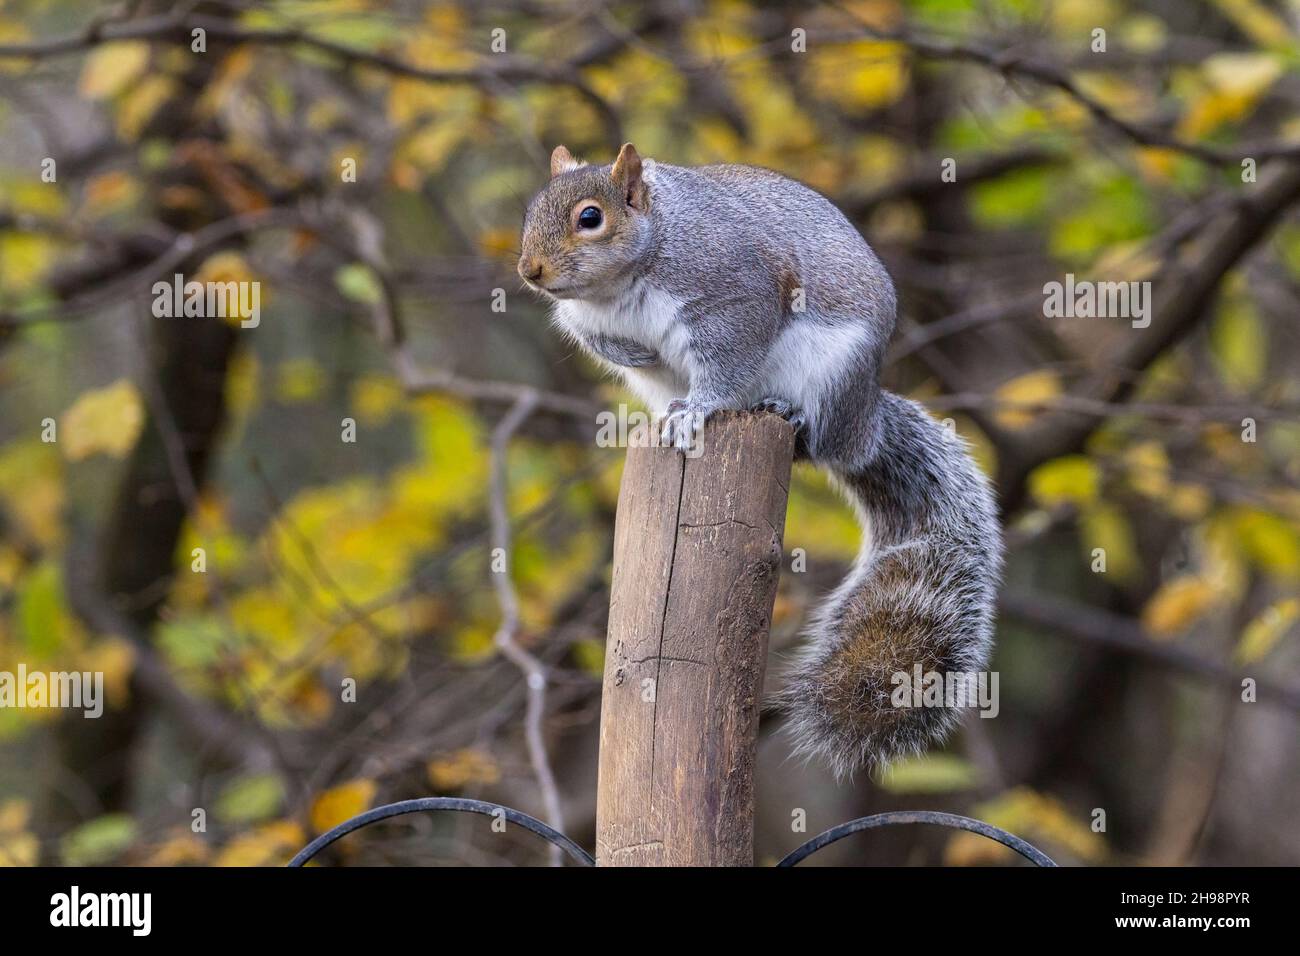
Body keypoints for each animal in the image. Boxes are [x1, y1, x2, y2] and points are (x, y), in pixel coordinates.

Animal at [517, 145, 1003, 780]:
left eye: (591, 218)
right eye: (529, 212)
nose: (529, 271)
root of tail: (866, 423)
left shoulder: (733, 295)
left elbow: (727, 362)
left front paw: (699, 409)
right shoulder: (583, 322)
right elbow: (606, 342)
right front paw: (635, 352)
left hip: (831, 378)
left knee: (818, 441)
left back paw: (782, 413)